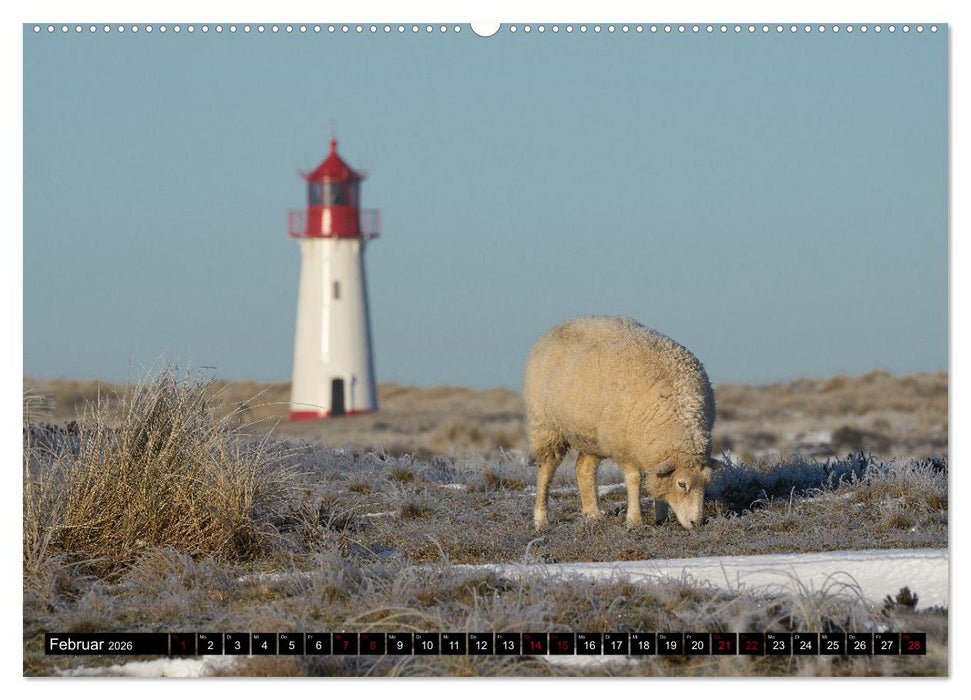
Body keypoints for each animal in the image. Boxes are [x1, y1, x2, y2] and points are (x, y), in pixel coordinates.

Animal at [523, 316, 720, 530]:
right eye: (682, 484)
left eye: (707, 483)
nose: (696, 522)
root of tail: (557, 327)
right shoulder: (626, 447)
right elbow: (634, 480)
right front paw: (634, 520)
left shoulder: (649, 448)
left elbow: (656, 480)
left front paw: (661, 517)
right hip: (547, 426)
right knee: (545, 470)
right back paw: (541, 519)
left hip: (593, 435)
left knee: (583, 468)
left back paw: (593, 515)